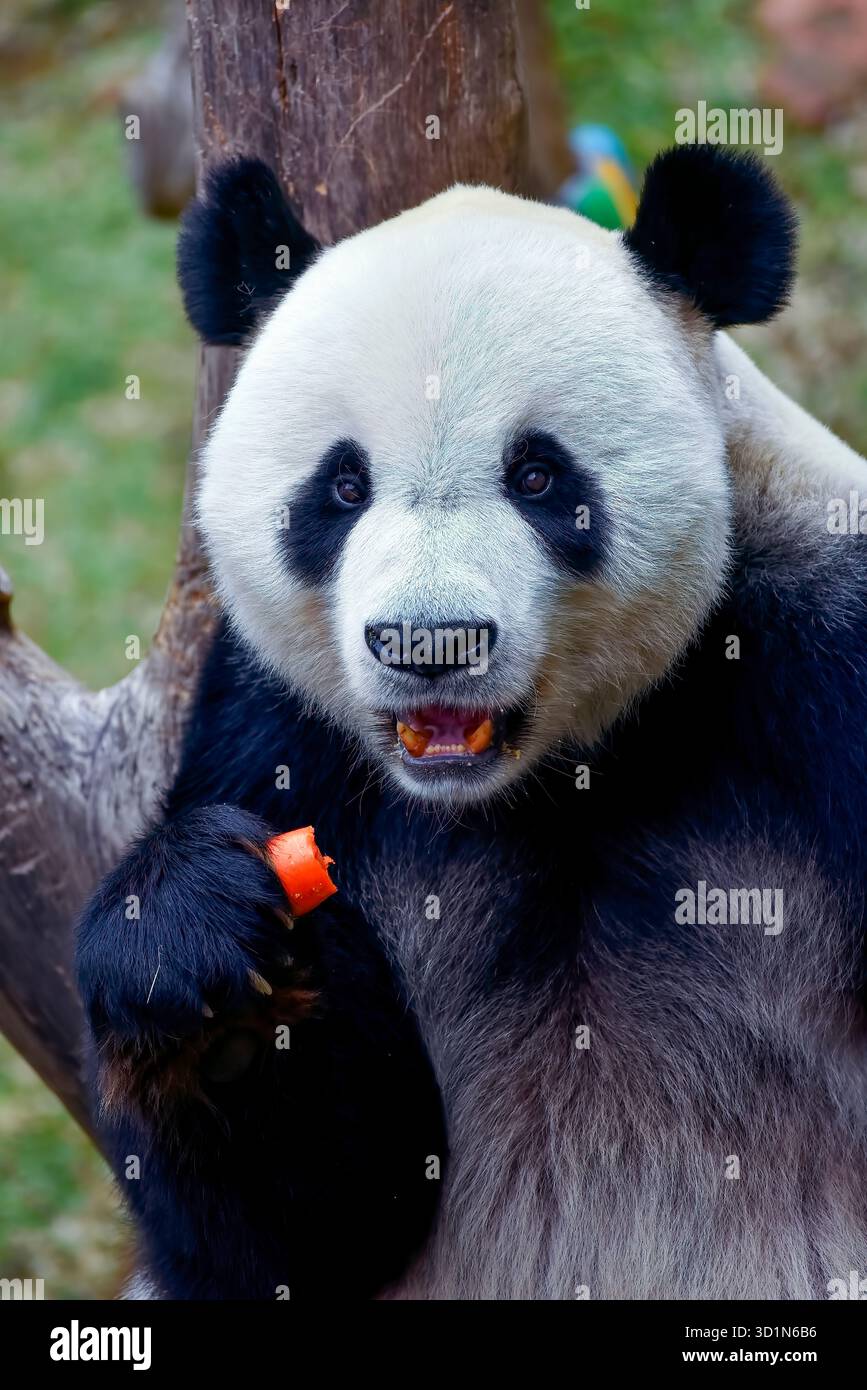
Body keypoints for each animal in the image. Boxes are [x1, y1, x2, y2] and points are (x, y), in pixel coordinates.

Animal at [76, 143, 867, 1300]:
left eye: (537, 474)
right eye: (341, 486)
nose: (428, 643)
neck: (562, 775)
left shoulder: (824, 666)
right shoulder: (271, 733)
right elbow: (310, 1229)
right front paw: (206, 972)